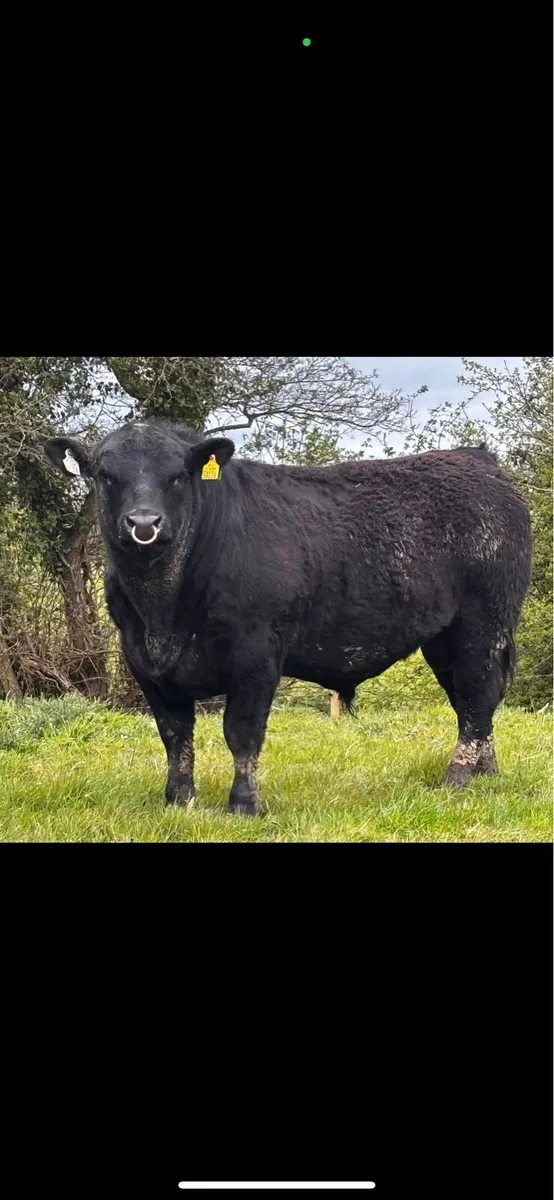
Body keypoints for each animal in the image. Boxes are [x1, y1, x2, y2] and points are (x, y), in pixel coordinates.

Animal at [44, 421, 532, 816]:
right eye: (105, 475)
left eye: (178, 475)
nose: (144, 523)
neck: (164, 613)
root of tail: (477, 459)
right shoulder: (143, 661)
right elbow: (175, 735)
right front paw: (179, 801)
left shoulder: (256, 654)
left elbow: (241, 733)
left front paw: (244, 805)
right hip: (444, 637)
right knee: (471, 701)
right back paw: (486, 772)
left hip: (483, 622)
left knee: (477, 693)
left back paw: (458, 776)